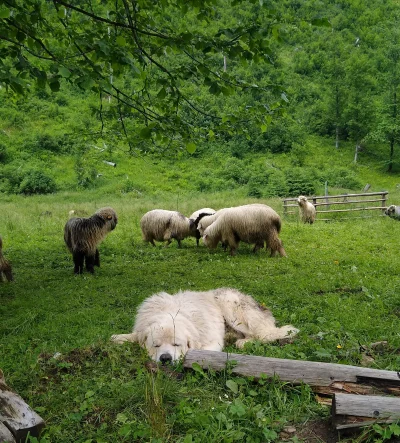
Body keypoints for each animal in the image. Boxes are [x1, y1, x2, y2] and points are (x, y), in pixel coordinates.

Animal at [111, 288, 298, 364]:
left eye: (176, 344)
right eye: (155, 345)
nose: (165, 358)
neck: (171, 312)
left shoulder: (211, 340)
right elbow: (131, 335)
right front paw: (120, 337)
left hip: (230, 306)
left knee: (262, 334)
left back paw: (244, 342)